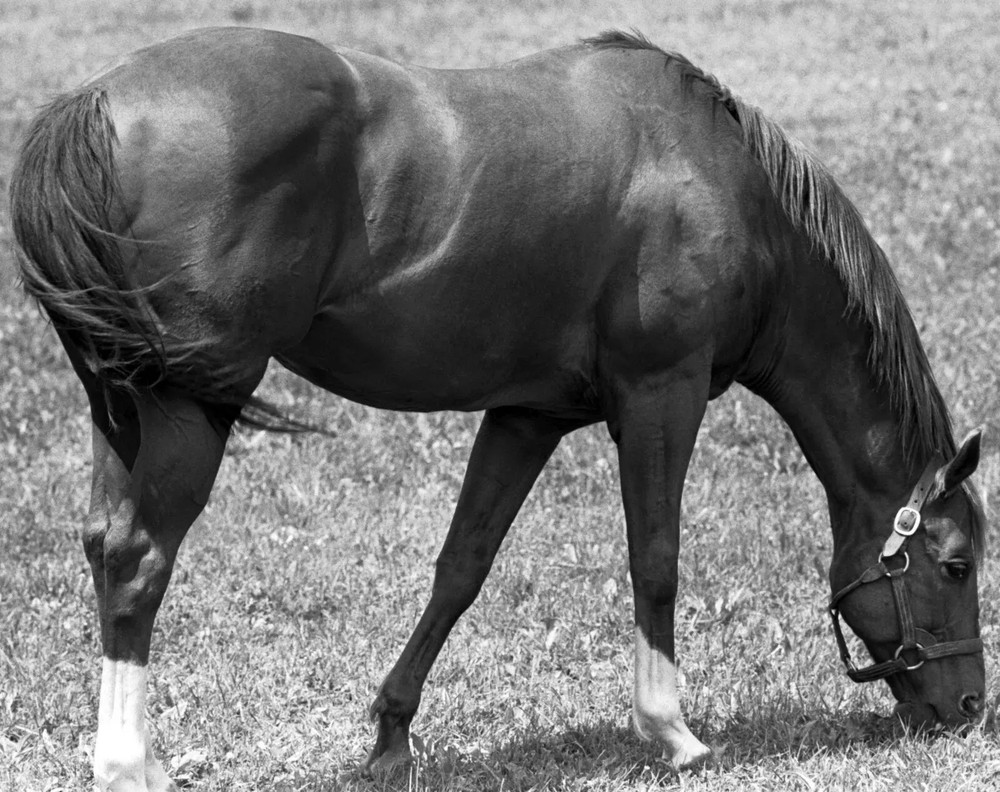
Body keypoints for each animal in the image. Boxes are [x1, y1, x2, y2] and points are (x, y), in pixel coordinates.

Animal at [9, 27, 986, 791]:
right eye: (956, 563)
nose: (971, 704)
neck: (722, 184)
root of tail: (96, 101)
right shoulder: (661, 394)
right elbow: (656, 559)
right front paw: (670, 729)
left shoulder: (526, 417)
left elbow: (461, 569)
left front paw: (391, 737)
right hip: (185, 411)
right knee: (140, 558)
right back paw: (126, 766)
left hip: (121, 409)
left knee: (105, 545)